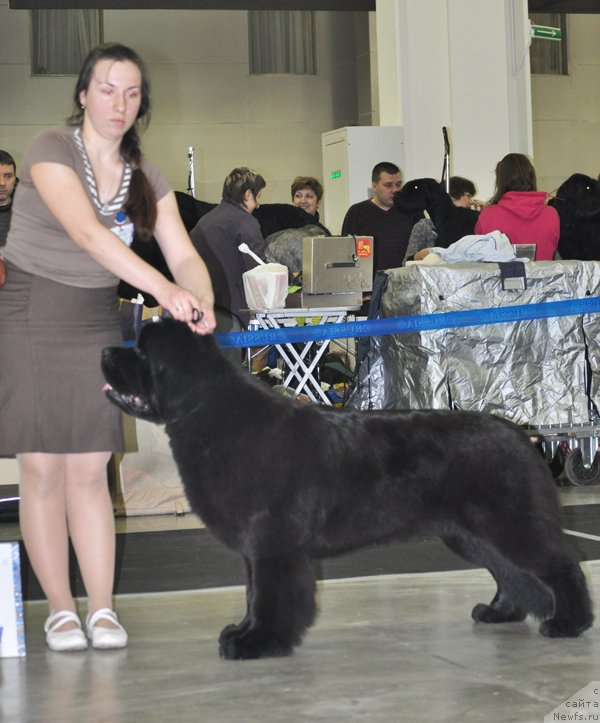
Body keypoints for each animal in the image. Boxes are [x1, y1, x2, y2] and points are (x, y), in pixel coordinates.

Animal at [101, 320, 592, 660]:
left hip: (508, 522)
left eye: (140, 351)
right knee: (510, 572)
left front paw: (259, 642)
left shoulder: (273, 542)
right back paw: (500, 612)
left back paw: (570, 623)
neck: (213, 414)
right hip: (472, 533)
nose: (105, 350)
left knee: (558, 566)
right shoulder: (256, 547)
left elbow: (269, 595)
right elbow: (251, 593)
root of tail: (522, 435)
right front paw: (242, 632)